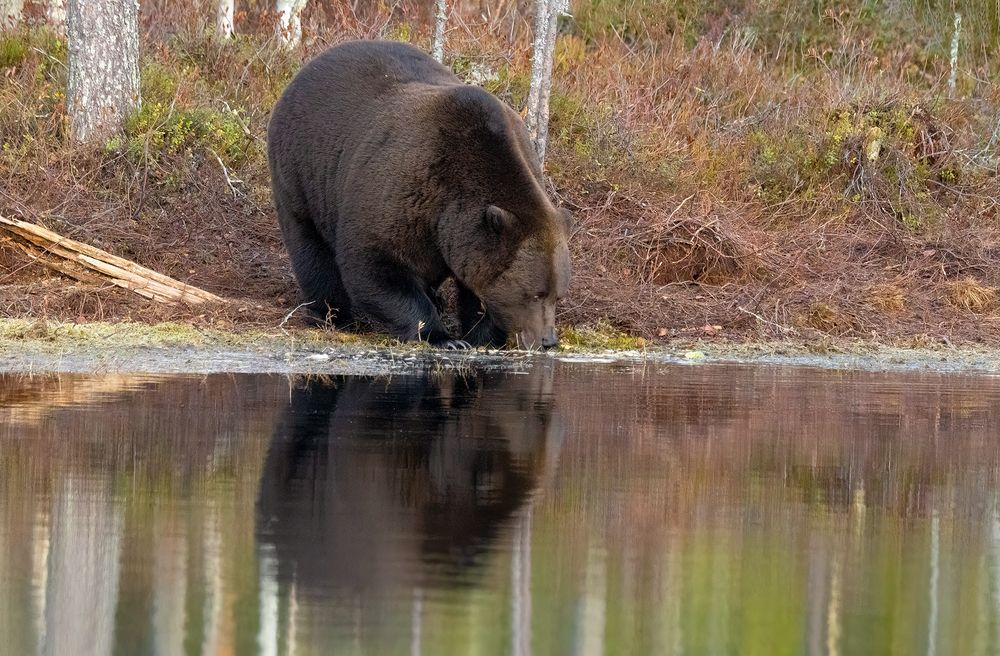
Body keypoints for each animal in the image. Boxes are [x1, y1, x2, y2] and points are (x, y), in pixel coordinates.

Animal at [267, 40, 571, 350]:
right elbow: (376, 265)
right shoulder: (402, 192)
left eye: (557, 295)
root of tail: (304, 71)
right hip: (301, 169)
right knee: (311, 247)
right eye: (535, 293)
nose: (548, 340)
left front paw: (480, 335)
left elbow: (477, 288)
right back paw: (332, 314)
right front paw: (443, 337)